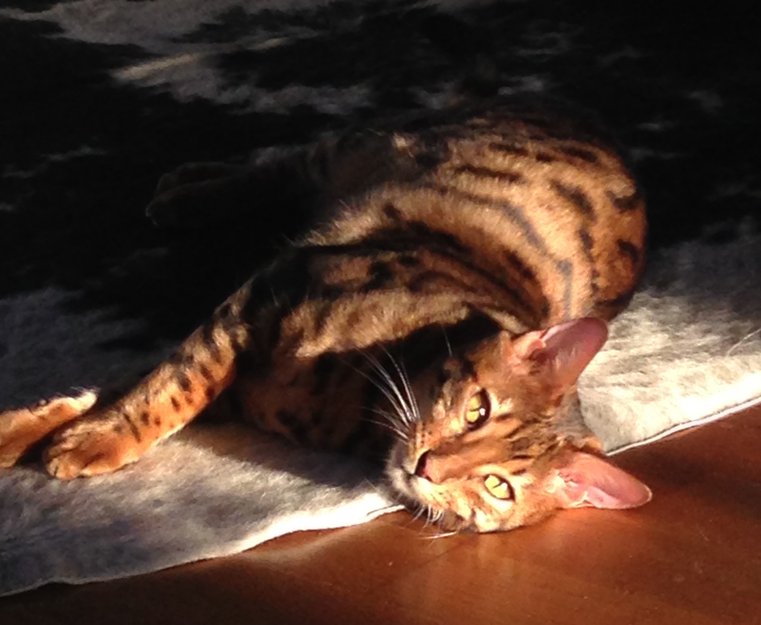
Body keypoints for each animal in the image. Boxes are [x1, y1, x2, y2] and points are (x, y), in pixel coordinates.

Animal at [0, 100, 651, 532]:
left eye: (497, 485)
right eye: (477, 410)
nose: (429, 467)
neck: (358, 400)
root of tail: (591, 127)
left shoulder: (242, 354)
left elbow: (134, 389)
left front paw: (59, 437)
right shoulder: (261, 297)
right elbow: (160, 389)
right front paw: (71, 436)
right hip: (359, 152)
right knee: (276, 162)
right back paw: (184, 191)